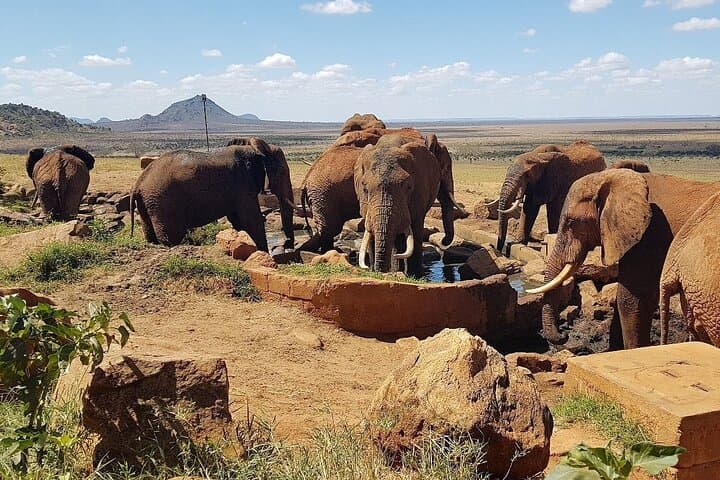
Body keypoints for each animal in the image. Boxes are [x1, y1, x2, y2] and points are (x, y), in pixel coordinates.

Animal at [130, 137, 295, 249]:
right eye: (281, 172)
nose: (286, 245)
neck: (255, 148)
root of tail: (138, 184)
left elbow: (239, 221)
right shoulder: (241, 184)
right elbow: (251, 221)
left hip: (148, 203)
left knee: (150, 233)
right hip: (163, 202)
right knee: (171, 237)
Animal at [354, 133, 458, 275]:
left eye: (408, 187)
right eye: (364, 189)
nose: (443, 241)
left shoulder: (420, 189)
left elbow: (415, 228)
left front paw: (415, 275)